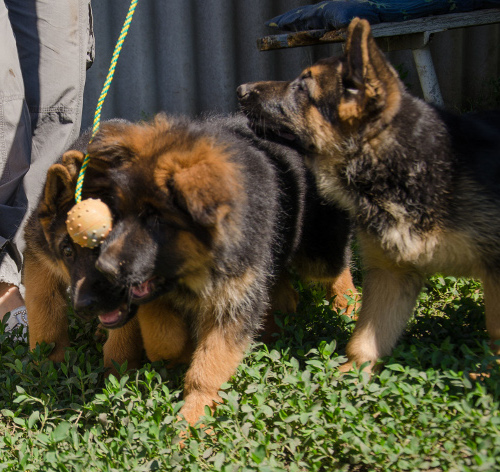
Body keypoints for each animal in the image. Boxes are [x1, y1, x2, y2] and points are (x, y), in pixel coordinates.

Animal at [22, 111, 352, 424]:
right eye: (67, 250)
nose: (85, 306)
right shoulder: (40, 259)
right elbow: (45, 316)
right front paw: (47, 367)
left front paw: (118, 377)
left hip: (316, 256)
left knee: (337, 273)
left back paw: (346, 311)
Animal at [237, 17, 500, 372]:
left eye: (303, 88)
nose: (240, 90)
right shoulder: (394, 273)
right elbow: (365, 341)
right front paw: (350, 376)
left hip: (320, 255)